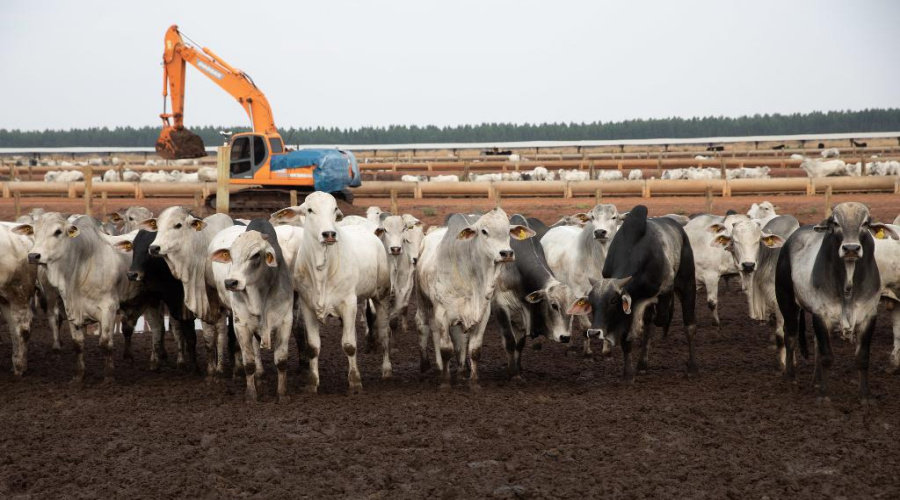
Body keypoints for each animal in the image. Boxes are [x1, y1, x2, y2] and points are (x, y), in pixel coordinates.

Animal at [568, 205, 696, 380]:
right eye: (591, 302)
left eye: (613, 301)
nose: (594, 332)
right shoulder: (626, 310)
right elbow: (627, 340)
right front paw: (628, 374)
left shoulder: (666, 288)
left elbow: (659, 318)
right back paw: (642, 365)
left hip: (687, 283)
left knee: (689, 326)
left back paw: (692, 368)